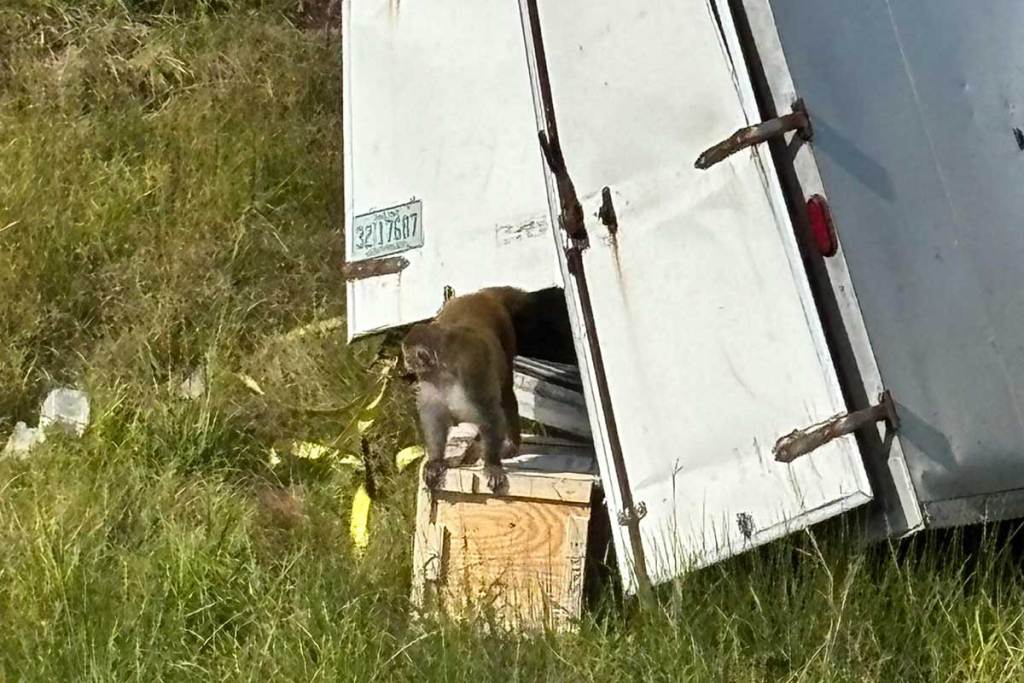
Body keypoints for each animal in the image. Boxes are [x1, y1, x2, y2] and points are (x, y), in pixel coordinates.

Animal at [402, 287, 530, 494]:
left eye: (407, 357)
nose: (405, 364)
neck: (443, 369)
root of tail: (480, 295)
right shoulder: (430, 380)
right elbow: (434, 416)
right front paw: (436, 460)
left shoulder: (471, 372)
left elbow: (490, 414)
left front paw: (492, 465)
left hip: (505, 332)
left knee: (505, 393)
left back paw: (510, 444)